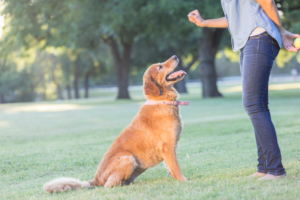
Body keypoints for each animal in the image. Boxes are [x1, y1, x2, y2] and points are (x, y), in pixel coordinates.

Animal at [43, 55, 189, 193]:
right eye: (160, 66)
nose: (175, 56)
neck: (161, 101)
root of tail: (96, 179)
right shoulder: (167, 147)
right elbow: (176, 168)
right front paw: (184, 181)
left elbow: (170, 169)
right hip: (128, 159)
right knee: (108, 185)